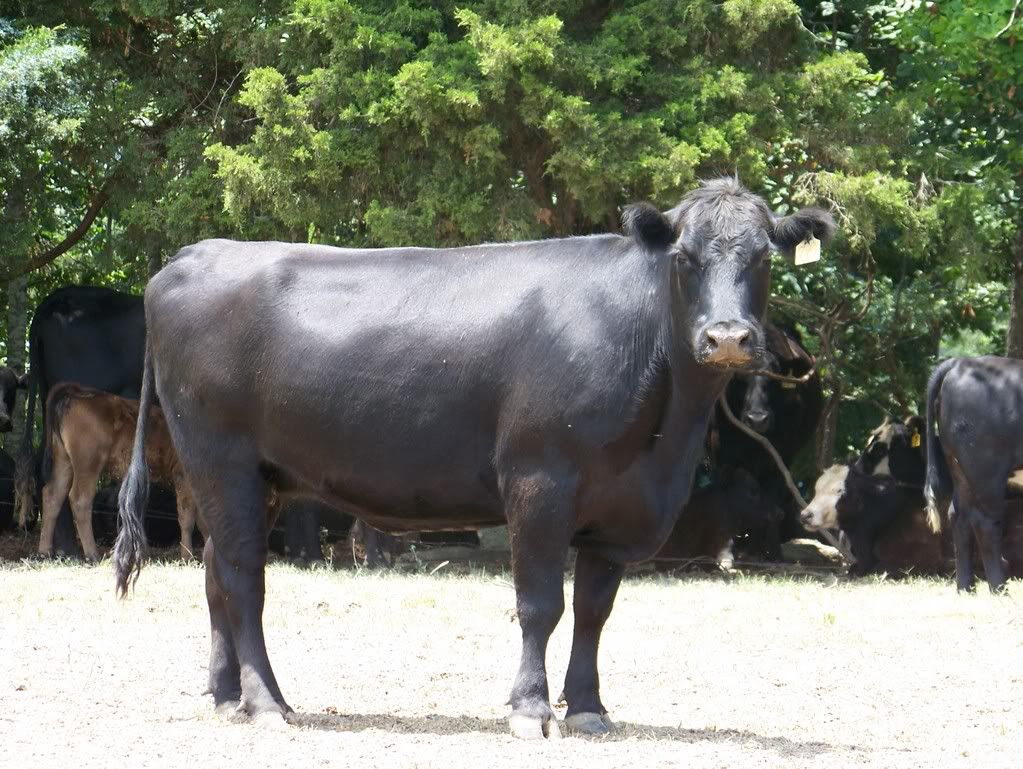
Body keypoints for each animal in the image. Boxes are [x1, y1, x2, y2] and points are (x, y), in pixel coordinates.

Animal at [36, 382, 200, 562]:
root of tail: (77, 392)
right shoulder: (182, 476)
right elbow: (187, 516)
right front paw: (187, 556)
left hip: (64, 461)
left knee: (53, 495)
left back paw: (44, 551)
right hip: (88, 463)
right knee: (80, 499)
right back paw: (92, 553)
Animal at [711, 322, 823, 558]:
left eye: (775, 376)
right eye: (740, 375)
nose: (757, 418)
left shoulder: (781, 457)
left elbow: (772, 506)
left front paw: (766, 552)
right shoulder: (721, 454)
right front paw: (726, 549)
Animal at [924, 356, 1023, 593]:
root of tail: (961, 362)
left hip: (960, 468)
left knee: (958, 516)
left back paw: (965, 588)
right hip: (986, 470)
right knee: (985, 522)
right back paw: (999, 588)